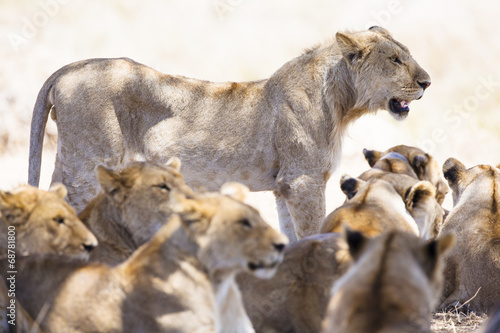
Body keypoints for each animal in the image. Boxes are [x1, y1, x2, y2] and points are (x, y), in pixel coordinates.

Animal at [30, 25, 430, 239]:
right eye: (395, 60)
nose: (427, 81)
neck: (341, 103)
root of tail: (67, 69)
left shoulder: (286, 186)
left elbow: (291, 236)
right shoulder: (304, 180)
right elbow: (313, 231)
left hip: (68, 161)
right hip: (92, 164)